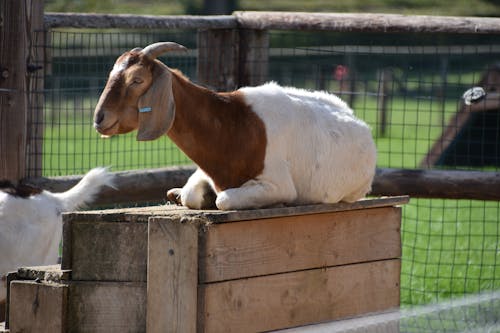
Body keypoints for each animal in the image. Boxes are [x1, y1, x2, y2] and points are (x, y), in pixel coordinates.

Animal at [93, 41, 376, 210]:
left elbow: (224, 200)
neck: (233, 124)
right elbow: (192, 195)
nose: (99, 118)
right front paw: (182, 193)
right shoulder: (205, 171)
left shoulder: (278, 185)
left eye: (137, 80)